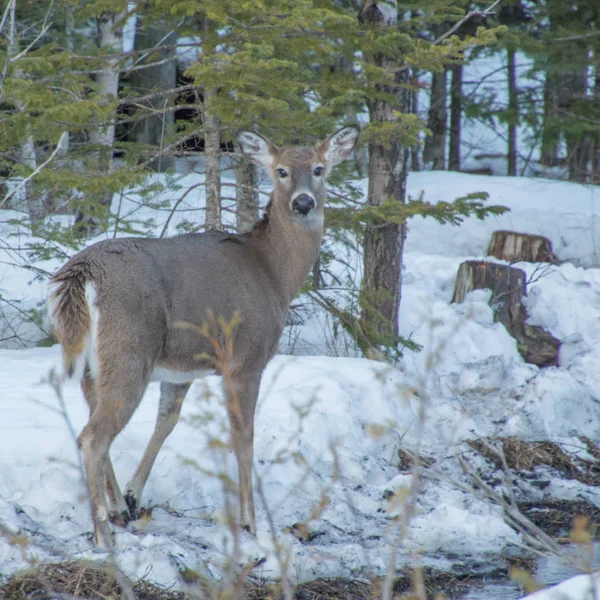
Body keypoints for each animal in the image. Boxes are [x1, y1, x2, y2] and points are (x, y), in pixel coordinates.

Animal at [49, 125, 358, 548]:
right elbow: (243, 438)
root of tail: (82, 274)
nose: (304, 202)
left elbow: (167, 421)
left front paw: (132, 496)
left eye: (319, 168)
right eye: (280, 171)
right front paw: (250, 524)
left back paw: (114, 512)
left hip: (90, 363)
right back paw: (103, 538)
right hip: (129, 352)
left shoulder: (182, 369)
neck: (274, 273)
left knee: (97, 428)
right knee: (93, 437)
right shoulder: (246, 359)